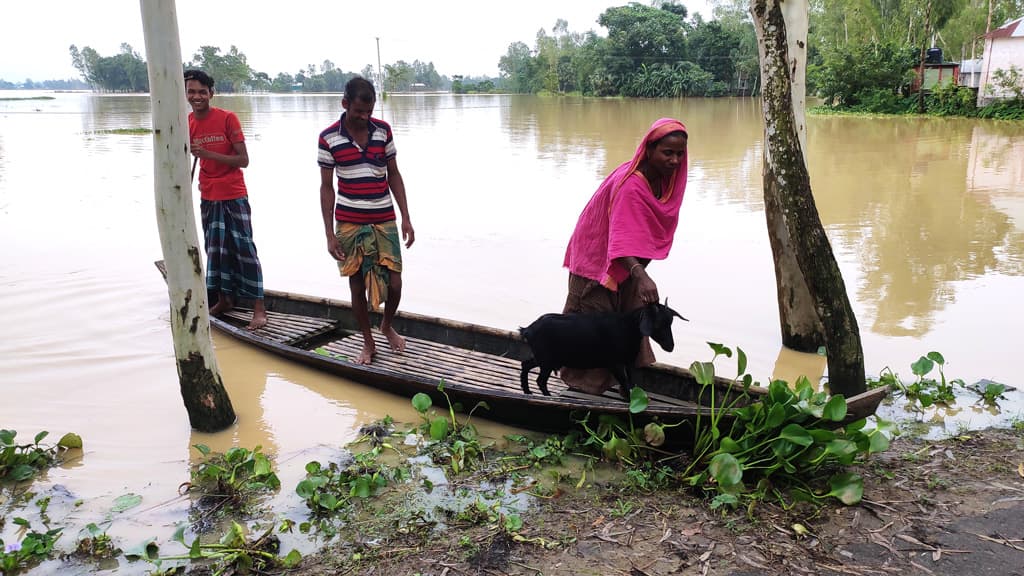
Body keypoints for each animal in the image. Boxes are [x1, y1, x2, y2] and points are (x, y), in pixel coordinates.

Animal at [520, 301, 688, 399]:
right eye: (658, 324)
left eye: (670, 322)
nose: (670, 346)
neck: (627, 328)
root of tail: (528, 329)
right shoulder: (615, 363)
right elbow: (625, 382)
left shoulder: (628, 362)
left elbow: (631, 383)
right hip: (547, 360)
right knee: (540, 380)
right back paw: (547, 396)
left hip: (543, 358)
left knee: (526, 365)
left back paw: (527, 391)